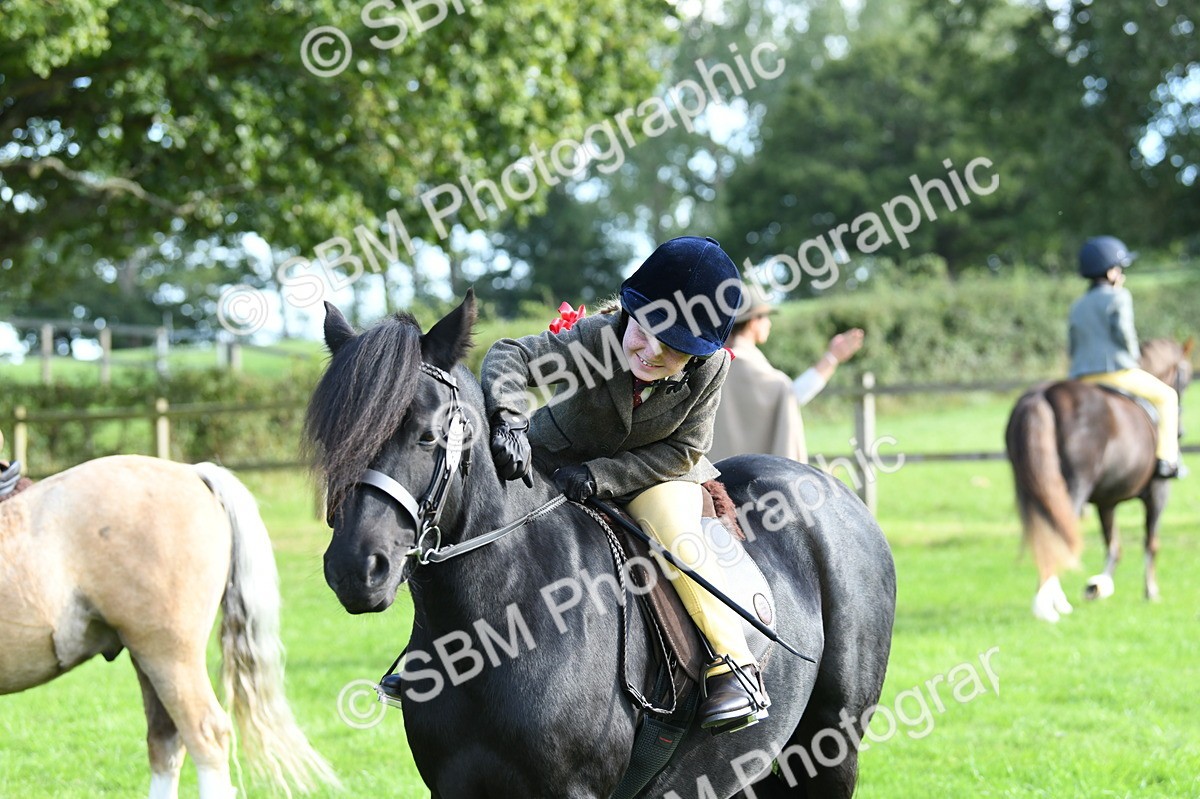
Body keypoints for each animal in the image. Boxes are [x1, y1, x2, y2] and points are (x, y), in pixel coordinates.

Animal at [1005, 338, 1194, 622]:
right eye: (1187, 378)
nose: (1180, 432)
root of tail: (1042, 394)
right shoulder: (1158, 493)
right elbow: (1150, 543)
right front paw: (1150, 592)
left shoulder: (1107, 502)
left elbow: (1113, 545)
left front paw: (1098, 586)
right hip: (1071, 489)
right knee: (1059, 533)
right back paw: (1049, 606)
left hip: (1033, 488)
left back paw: (1053, 601)